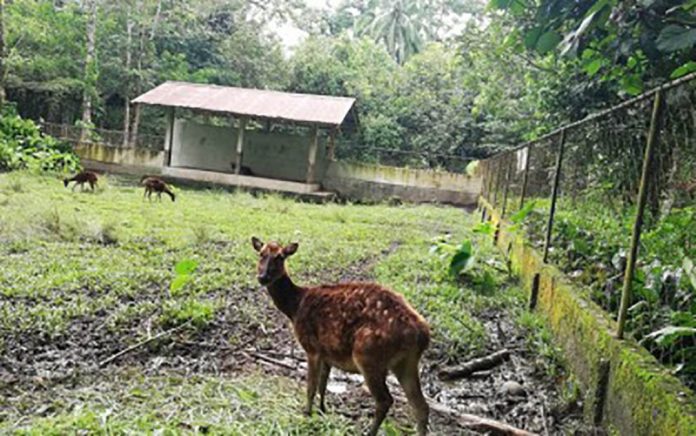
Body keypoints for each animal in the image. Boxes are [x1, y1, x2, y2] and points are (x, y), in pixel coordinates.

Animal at [250, 238, 430, 436]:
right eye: (261, 254)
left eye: (280, 257)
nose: (262, 277)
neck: (295, 307)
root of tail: (422, 333)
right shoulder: (327, 352)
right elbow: (323, 385)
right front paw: (322, 410)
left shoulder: (311, 347)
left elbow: (311, 386)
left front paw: (306, 414)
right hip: (406, 362)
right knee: (420, 406)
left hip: (368, 354)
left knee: (385, 400)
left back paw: (370, 432)